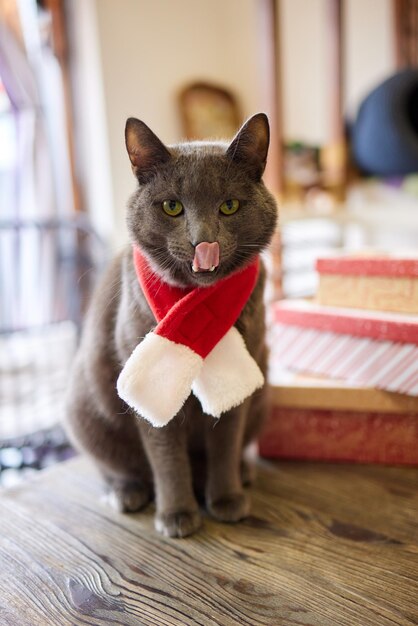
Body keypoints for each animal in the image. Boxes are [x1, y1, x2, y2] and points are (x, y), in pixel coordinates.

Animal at [65, 113, 278, 536]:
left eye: (229, 206)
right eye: (172, 206)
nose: (204, 243)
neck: (196, 305)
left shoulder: (243, 379)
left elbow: (226, 442)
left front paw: (226, 499)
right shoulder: (144, 377)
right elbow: (165, 454)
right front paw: (177, 515)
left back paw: (243, 474)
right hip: (82, 409)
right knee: (115, 467)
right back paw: (126, 493)